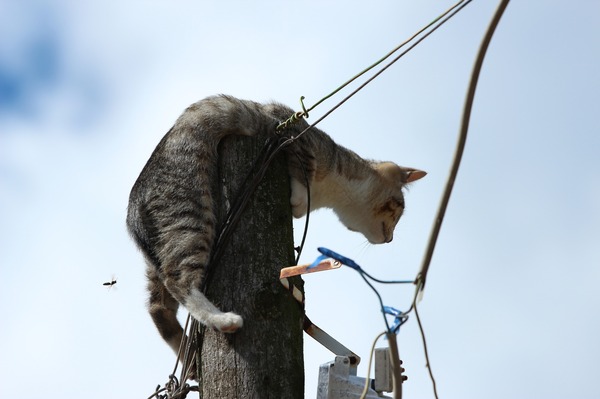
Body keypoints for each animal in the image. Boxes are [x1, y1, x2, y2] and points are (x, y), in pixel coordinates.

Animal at [126, 95, 426, 358]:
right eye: (399, 211)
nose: (390, 239)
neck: (331, 190)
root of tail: (133, 213)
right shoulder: (288, 131)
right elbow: (304, 169)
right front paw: (298, 198)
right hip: (190, 213)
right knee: (178, 280)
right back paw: (223, 320)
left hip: (161, 249)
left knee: (158, 307)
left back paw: (185, 352)